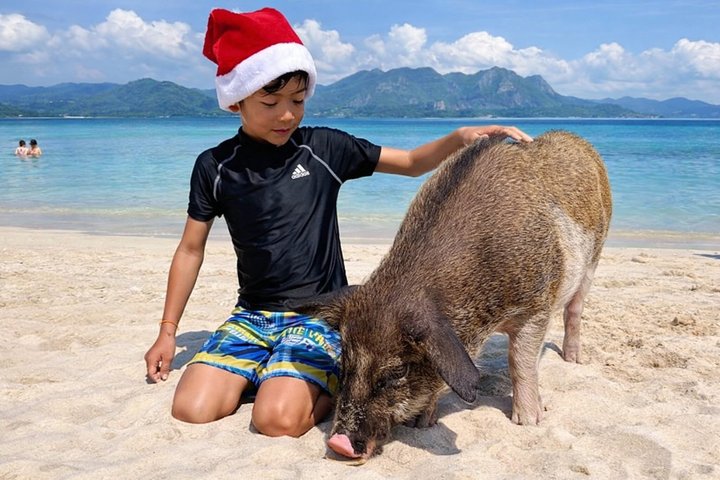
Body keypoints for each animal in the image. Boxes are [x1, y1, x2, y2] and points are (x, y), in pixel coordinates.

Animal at [293, 130, 612, 463]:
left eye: (398, 371)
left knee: (575, 309)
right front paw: (422, 425)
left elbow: (520, 360)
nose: (338, 444)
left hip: (594, 257)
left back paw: (573, 360)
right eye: (344, 360)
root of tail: (577, 140)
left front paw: (529, 421)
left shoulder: (536, 303)